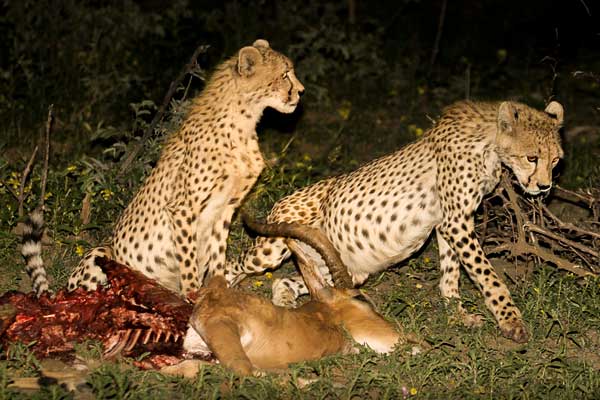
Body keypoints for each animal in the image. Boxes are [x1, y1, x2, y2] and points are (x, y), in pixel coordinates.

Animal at [69, 39, 304, 296]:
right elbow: (189, 261)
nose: (301, 91)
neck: (244, 122)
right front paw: (193, 296)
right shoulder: (183, 207)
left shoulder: (225, 208)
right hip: (102, 253)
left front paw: (218, 292)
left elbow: (217, 255)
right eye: (285, 74)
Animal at [227, 101, 564, 344]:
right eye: (532, 157)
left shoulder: (448, 221)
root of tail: (284, 199)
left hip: (346, 270)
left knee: (291, 282)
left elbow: (451, 273)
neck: (490, 147)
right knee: (235, 264)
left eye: (556, 159)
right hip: (272, 248)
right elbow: (488, 275)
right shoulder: (456, 220)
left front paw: (457, 314)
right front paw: (511, 321)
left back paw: (288, 306)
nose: (545, 187)